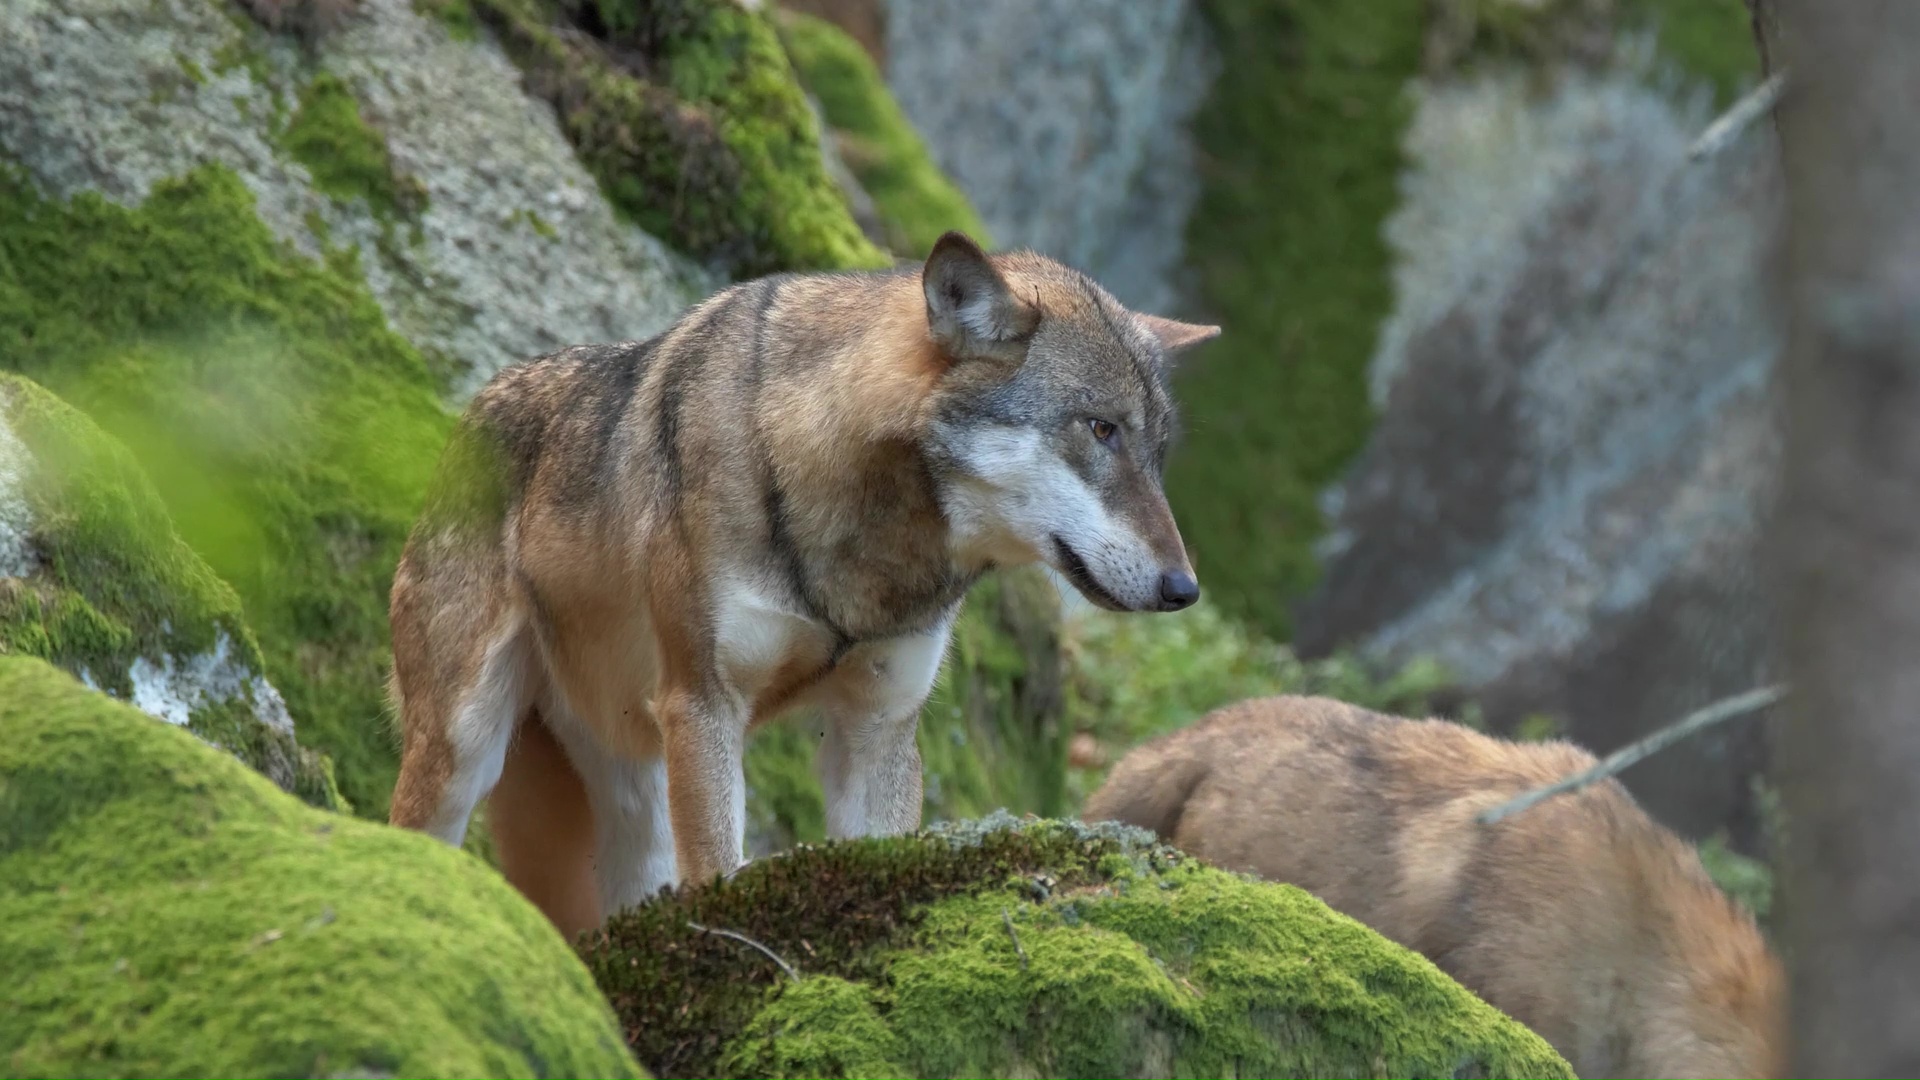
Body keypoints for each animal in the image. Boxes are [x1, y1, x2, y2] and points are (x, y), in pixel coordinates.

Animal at [387, 231, 1217, 936]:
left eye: (1158, 453)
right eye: (1101, 428)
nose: (1185, 589)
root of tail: (470, 415)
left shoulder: (877, 729)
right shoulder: (704, 705)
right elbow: (719, 874)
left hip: (634, 799)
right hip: (464, 750)